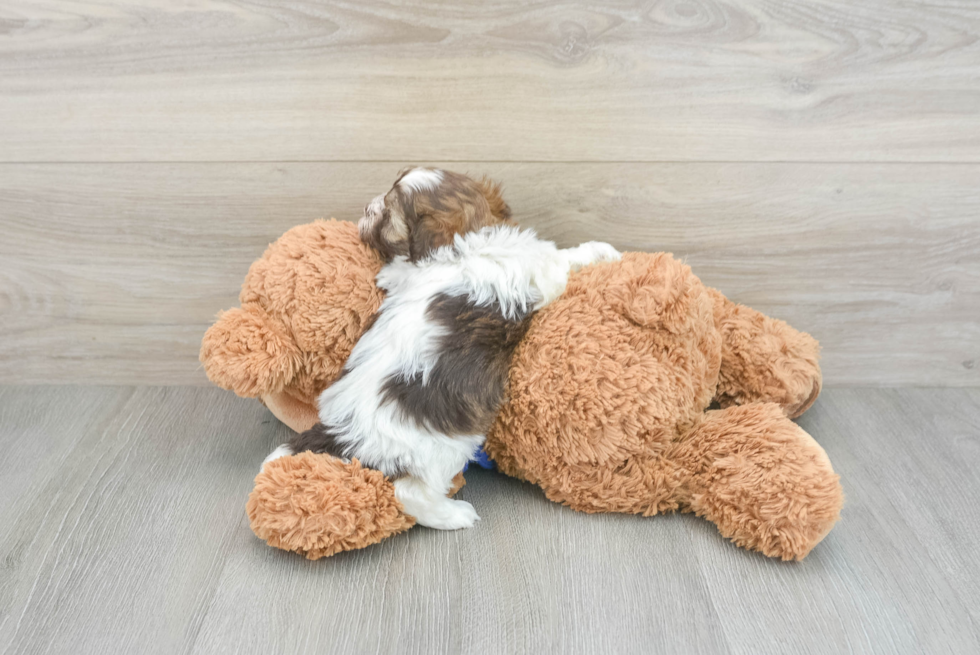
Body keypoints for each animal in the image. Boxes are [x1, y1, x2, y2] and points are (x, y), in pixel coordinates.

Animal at [260, 167, 620, 532]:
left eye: (387, 210)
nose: (366, 207)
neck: (468, 237)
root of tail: (343, 431)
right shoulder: (540, 274)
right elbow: (562, 260)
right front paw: (598, 251)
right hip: (440, 450)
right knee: (409, 492)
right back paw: (455, 515)